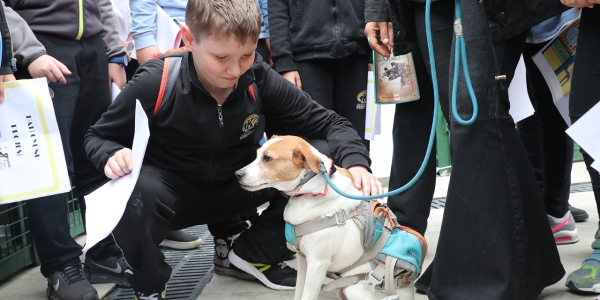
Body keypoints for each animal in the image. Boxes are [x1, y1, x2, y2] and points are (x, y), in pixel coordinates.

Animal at [233, 136, 422, 300]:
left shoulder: (317, 264)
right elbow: (298, 294)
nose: (237, 174)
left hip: (354, 288)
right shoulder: (303, 260)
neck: (311, 189)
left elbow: (307, 296)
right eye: (257, 154)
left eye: (267, 158)